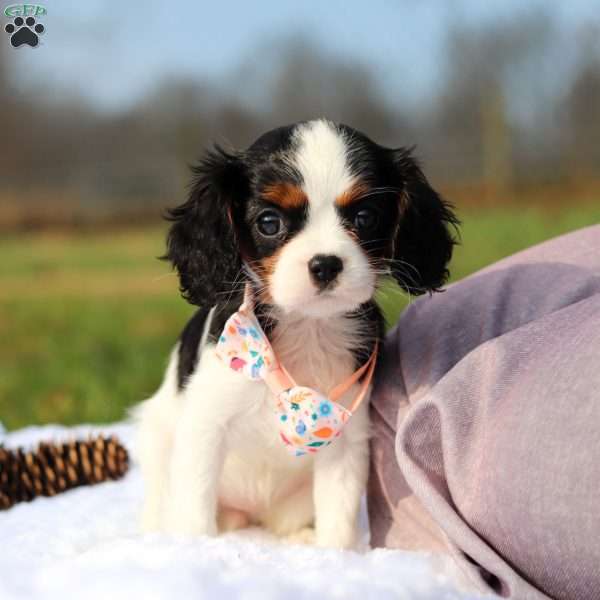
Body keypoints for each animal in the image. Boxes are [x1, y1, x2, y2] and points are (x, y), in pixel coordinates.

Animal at [134, 117, 458, 548]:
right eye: (269, 223)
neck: (308, 327)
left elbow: (338, 515)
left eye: (365, 218)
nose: (326, 264)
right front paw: (194, 548)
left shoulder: (344, 438)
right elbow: (195, 508)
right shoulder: (205, 425)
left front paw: (335, 554)